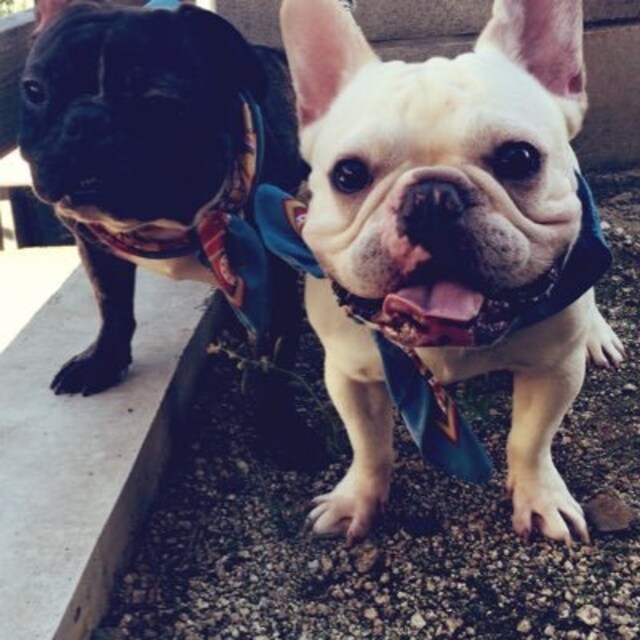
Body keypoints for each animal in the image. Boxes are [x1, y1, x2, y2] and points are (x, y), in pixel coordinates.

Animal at [280, 0, 626, 544]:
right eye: (348, 174)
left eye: (519, 158)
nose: (431, 198)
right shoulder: (349, 375)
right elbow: (369, 445)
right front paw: (356, 500)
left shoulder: (554, 371)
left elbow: (530, 441)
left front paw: (539, 499)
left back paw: (598, 334)